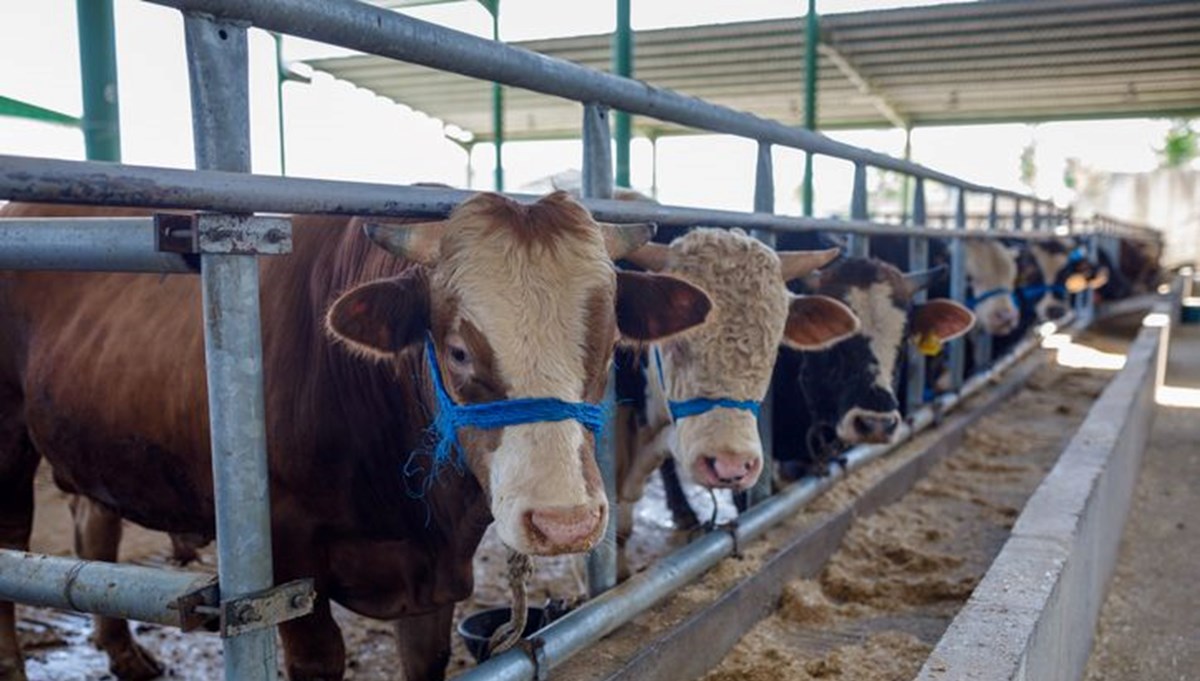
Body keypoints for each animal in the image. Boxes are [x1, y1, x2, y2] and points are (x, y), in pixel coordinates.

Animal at [0, 191, 710, 681]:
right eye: (457, 350)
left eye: (609, 344)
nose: (564, 522)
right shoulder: (287, 555)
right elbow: (320, 657)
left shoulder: (434, 581)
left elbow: (425, 658)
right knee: (14, 539)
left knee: (94, 529)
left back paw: (123, 652)